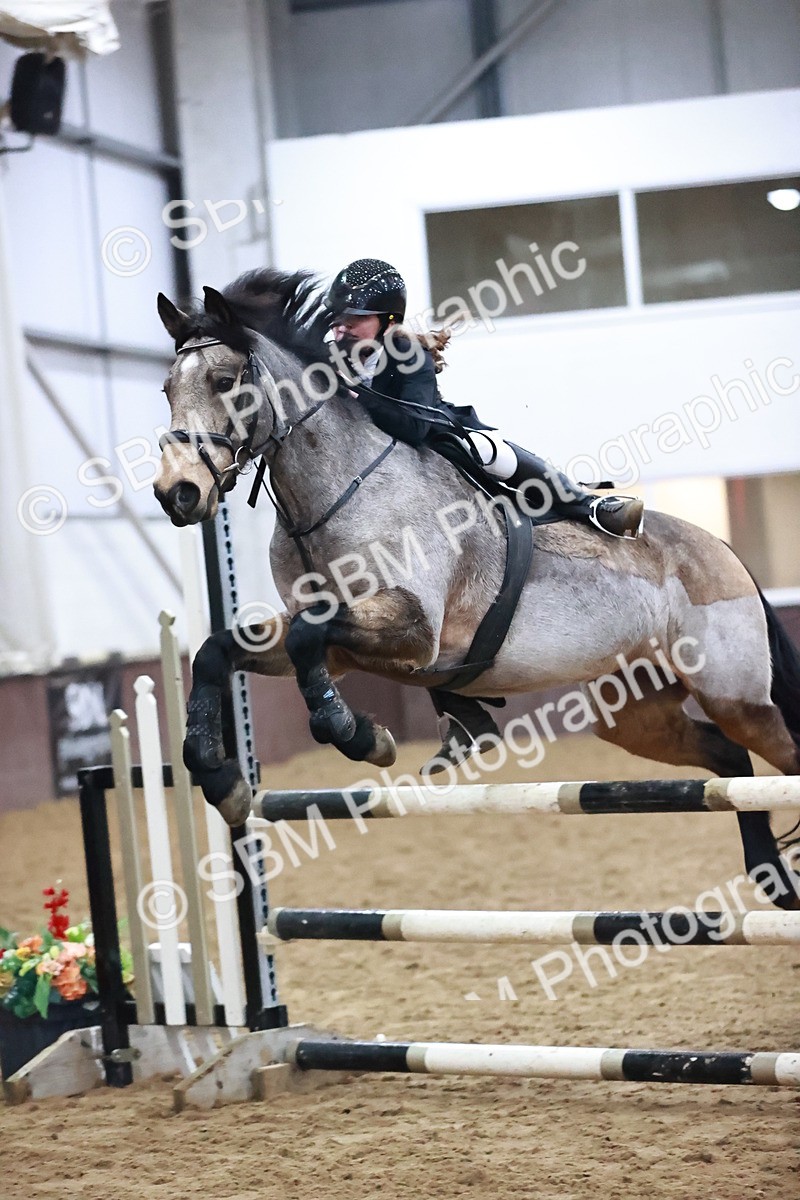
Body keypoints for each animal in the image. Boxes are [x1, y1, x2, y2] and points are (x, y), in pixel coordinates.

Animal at [153, 268, 800, 909]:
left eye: (224, 380)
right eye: (166, 389)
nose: (176, 493)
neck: (331, 494)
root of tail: (721, 549)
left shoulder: (414, 632)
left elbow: (309, 640)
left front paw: (358, 734)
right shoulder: (339, 646)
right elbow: (219, 651)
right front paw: (219, 777)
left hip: (734, 694)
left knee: (773, 750)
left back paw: (612, 509)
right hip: (633, 712)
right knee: (726, 755)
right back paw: (769, 872)